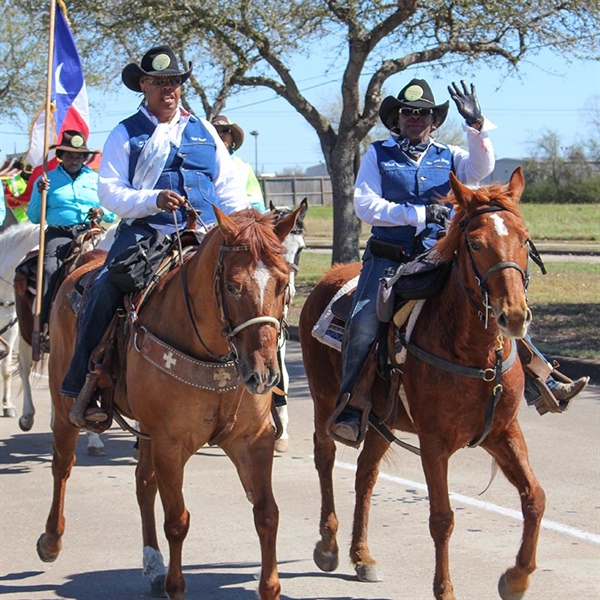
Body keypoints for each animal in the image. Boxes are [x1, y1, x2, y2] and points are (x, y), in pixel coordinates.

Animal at [35, 207, 302, 600]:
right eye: (232, 286)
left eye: (283, 283)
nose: (264, 374)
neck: (213, 352)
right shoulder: (170, 444)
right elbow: (177, 520)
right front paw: (177, 586)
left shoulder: (252, 440)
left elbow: (267, 513)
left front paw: (269, 587)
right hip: (65, 401)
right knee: (62, 465)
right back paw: (51, 540)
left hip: (146, 432)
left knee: (143, 484)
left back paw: (153, 565)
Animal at [298, 169, 544, 600]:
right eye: (476, 243)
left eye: (524, 238)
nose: (513, 316)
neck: (474, 355)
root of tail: (330, 276)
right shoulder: (434, 443)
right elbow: (442, 518)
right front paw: (444, 589)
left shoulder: (503, 432)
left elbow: (534, 498)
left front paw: (516, 578)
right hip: (326, 400)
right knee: (325, 458)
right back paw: (328, 546)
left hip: (380, 419)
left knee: (365, 476)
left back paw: (362, 557)